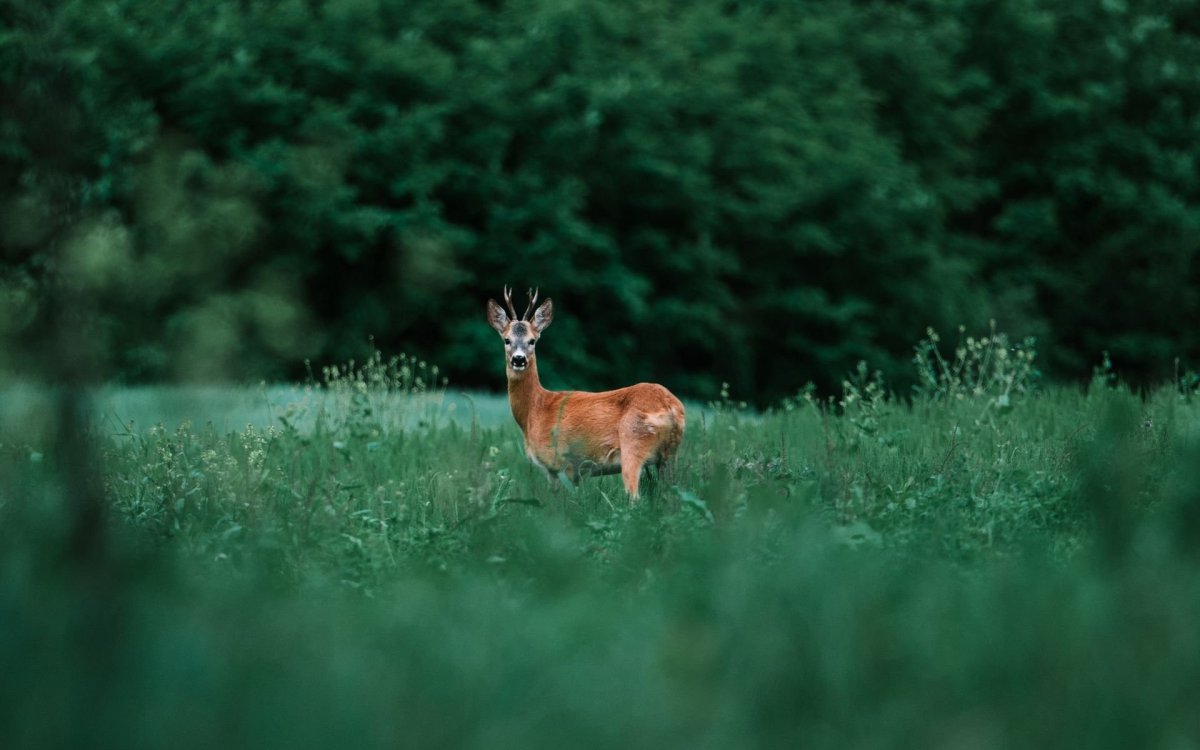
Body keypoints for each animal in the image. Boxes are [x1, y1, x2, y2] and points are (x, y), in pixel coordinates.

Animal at [486, 287, 685, 502]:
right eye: (507, 340)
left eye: (532, 341)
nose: (519, 359)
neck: (535, 410)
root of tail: (670, 406)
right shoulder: (576, 473)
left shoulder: (559, 462)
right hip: (670, 454)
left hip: (634, 444)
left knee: (635, 497)